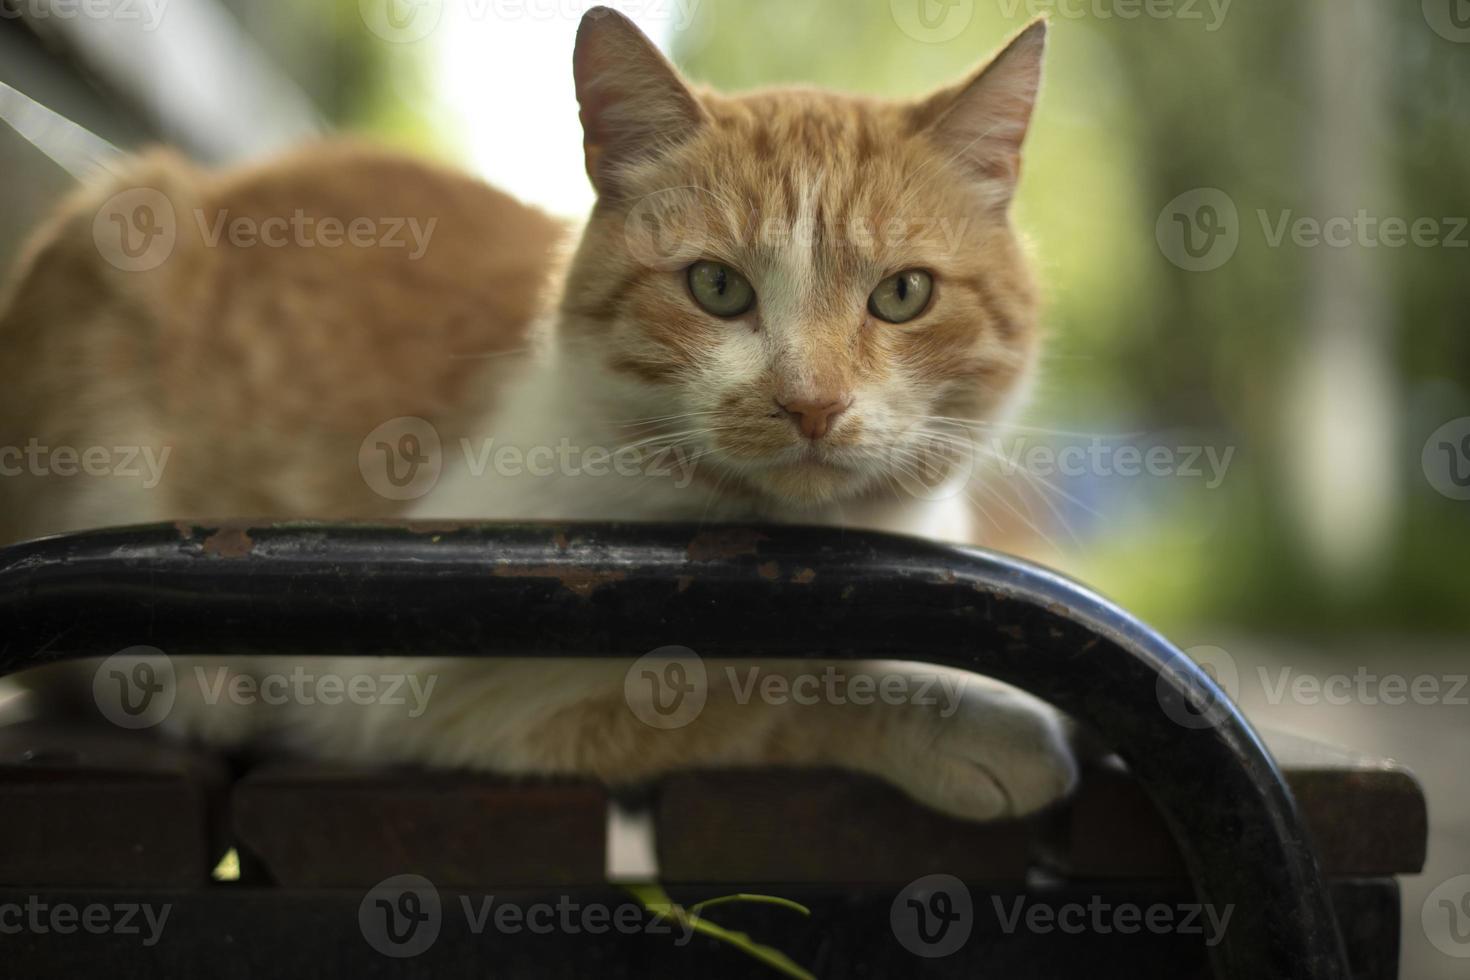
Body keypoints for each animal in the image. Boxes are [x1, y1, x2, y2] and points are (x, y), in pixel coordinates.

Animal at [2, 9, 1081, 822]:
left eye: (902, 294)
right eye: (716, 287)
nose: (810, 402)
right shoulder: (446, 686)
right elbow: (776, 682)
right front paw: (979, 725)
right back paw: (194, 685)